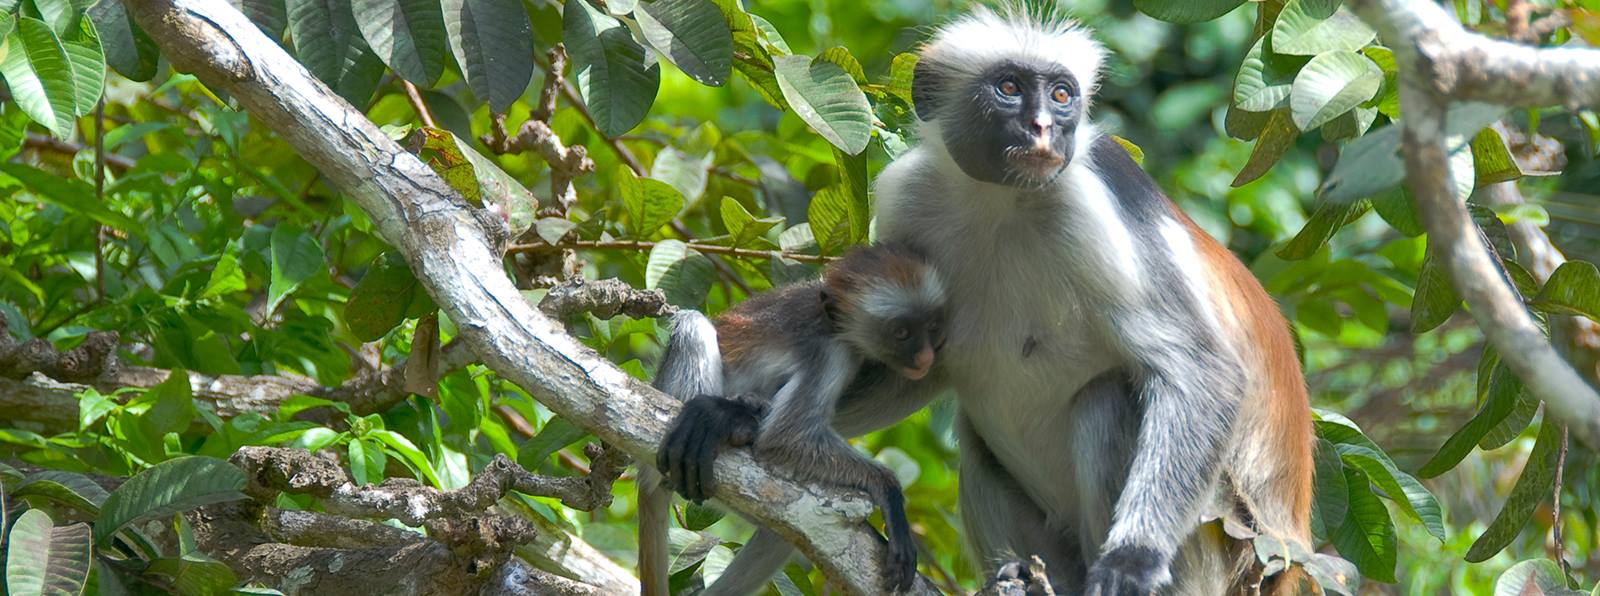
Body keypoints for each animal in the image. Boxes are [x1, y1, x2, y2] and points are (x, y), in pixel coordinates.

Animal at [662, 5, 1312, 596]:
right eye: (1008, 88)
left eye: (1061, 95)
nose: (1044, 128)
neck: (1003, 200)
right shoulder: (909, 198)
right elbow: (916, 367)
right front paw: (737, 417)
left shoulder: (1097, 192)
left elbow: (1202, 371)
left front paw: (1133, 559)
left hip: (1218, 547)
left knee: (1106, 397)